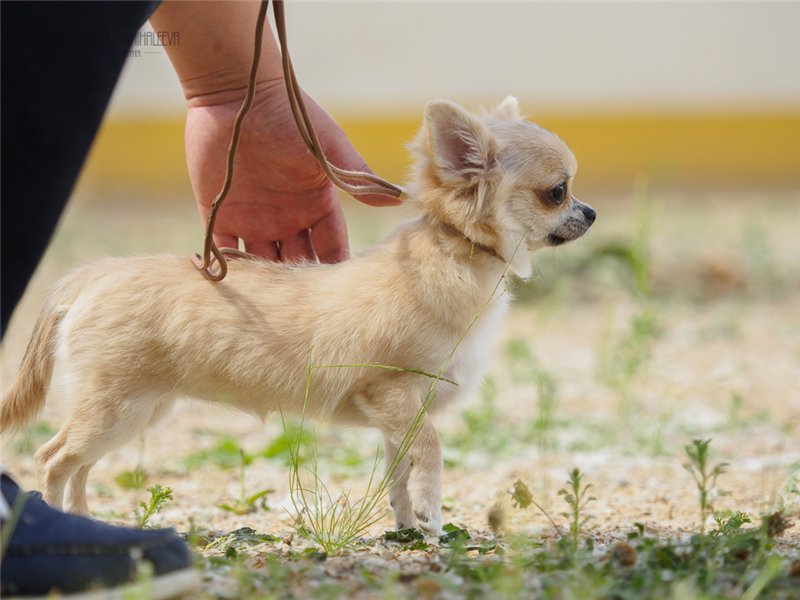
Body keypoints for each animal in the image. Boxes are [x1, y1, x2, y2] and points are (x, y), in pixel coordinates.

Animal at [1, 98, 592, 536]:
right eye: (556, 192)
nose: (589, 211)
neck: (456, 255)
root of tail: (94, 275)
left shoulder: (395, 420)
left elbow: (397, 474)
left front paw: (405, 525)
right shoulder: (396, 394)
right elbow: (431, 452)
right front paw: (430, 511)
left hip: (136, 413)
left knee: (79, 466)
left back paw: (87, 522)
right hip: (115, 411)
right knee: (53, 458)